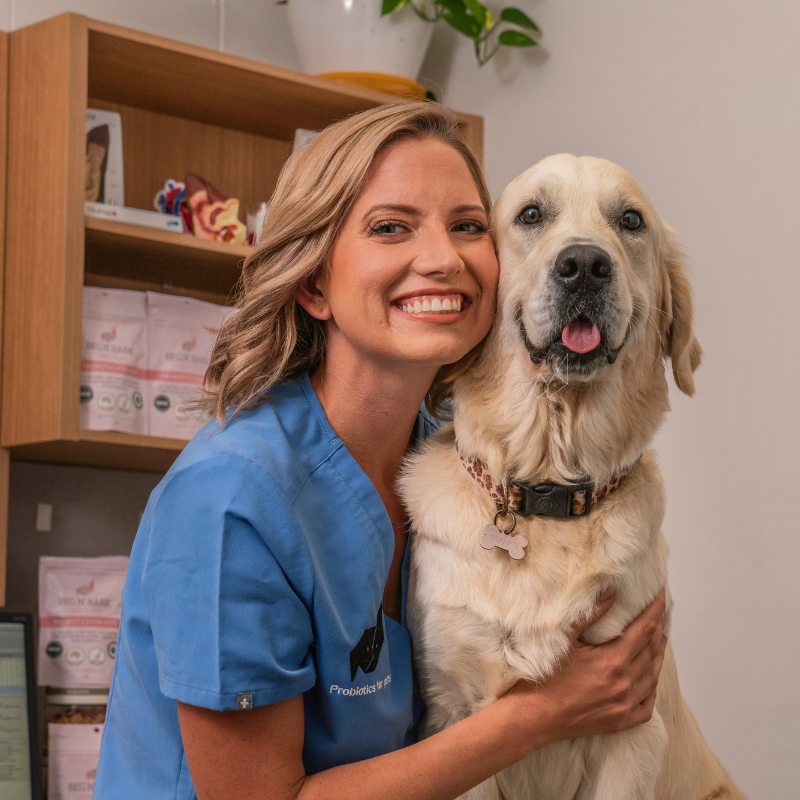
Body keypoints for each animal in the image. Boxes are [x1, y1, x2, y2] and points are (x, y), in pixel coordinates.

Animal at [404, 153, 748, 796]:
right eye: (531, 214)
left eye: (631, 220)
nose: (585, 265)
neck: (550, 488)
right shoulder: (454, 714)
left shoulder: (632, 726)